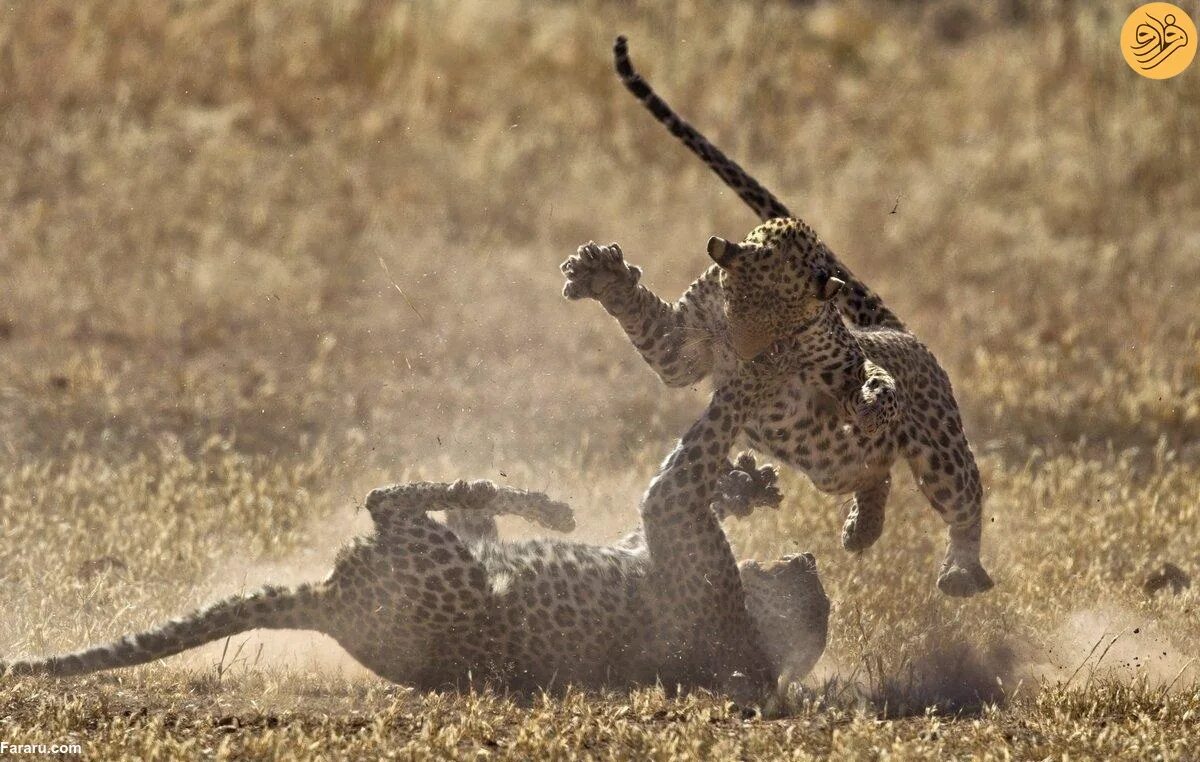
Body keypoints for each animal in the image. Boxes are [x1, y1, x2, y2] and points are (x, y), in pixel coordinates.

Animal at [2, 355, 825, 696]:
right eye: (808, 586)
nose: (809, 563)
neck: (749, 642)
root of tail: (328, 602)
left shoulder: (673, 524)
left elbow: (691, 456)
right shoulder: (657, 530)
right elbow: (679, 484)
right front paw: (749, 484)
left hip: (445, 570)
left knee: (387, 501)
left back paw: (525, 500)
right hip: (452, 550)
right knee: (443, 511)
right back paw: (526, 500)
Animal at [561, 35, 993, 600]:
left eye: (783, 328)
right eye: (736, 308)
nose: (750, 359)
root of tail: (895, 330)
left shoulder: (843, 362)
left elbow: (870, 380)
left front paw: (870, 406)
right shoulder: (682, 347)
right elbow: (655, 330)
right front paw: (601, 272)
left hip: (941, 450)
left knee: (964, 499)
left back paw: (962, 570)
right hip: (833, 473)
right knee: (875, 474)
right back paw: (862, 529)